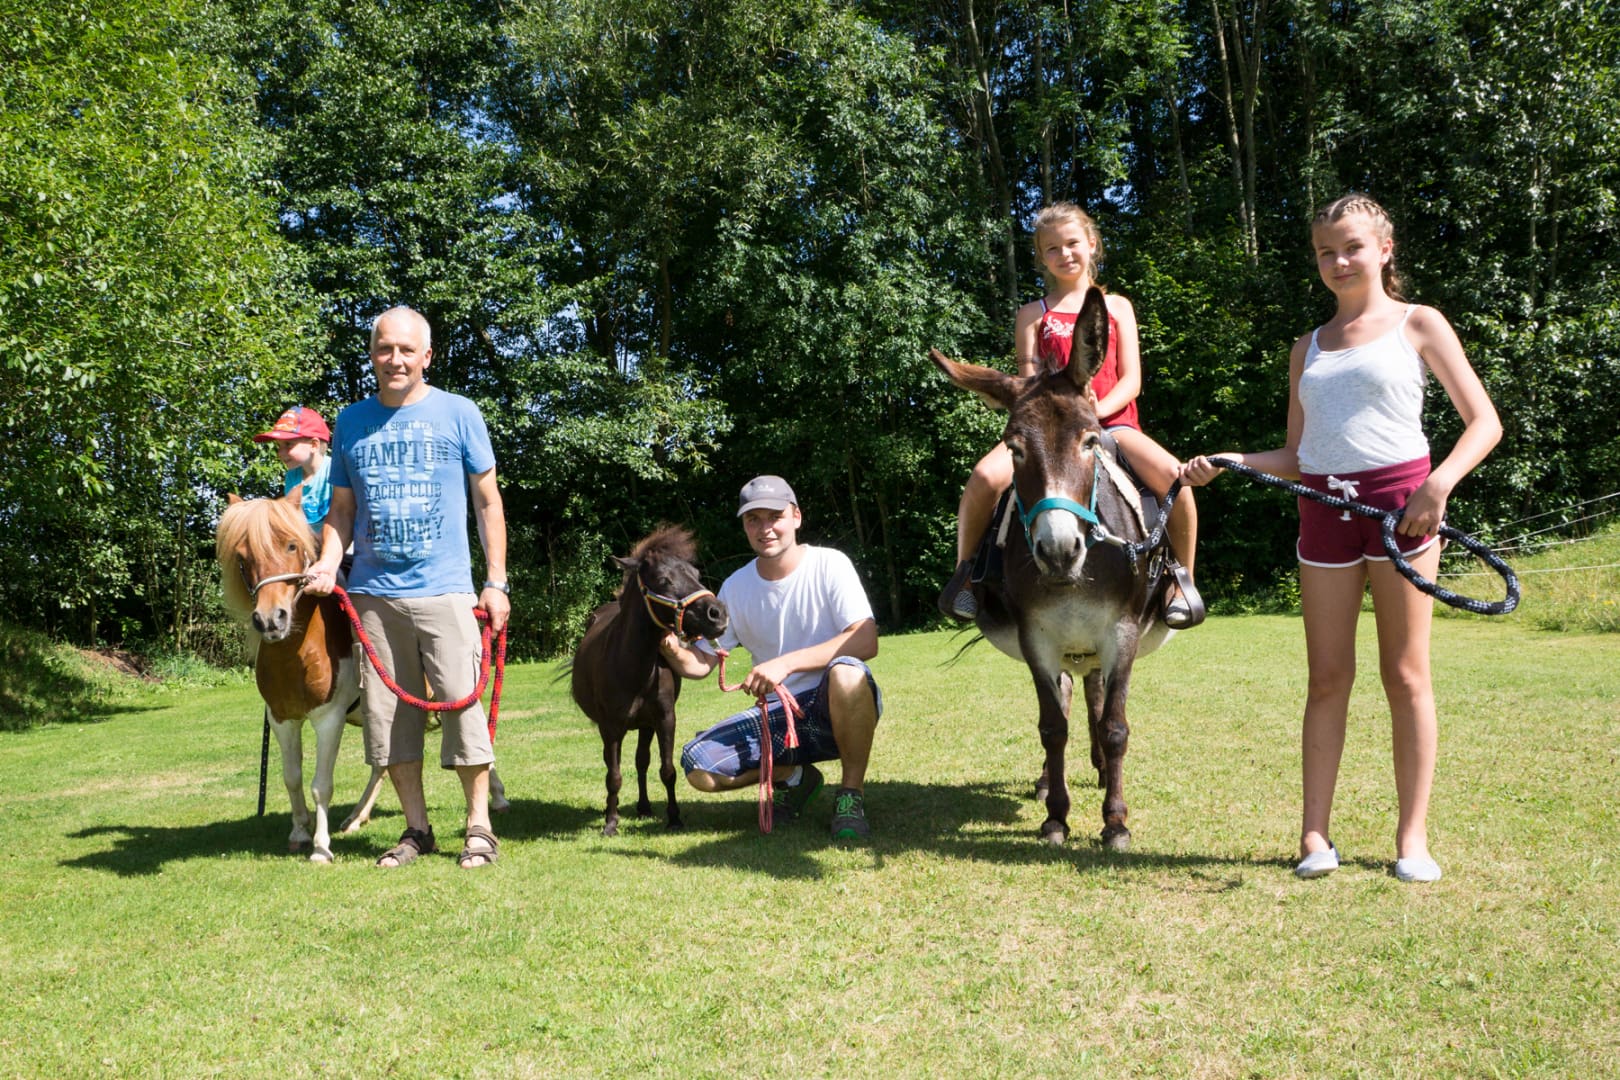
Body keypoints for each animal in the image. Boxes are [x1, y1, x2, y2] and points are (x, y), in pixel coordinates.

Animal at [571, 525, 729, 837]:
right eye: (664, 580)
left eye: (695, 573)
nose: (717, 613)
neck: (633, 667)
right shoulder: (611, 727)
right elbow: (614, 775)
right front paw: (611, 822)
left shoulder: (665, 719)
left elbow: (666, 770)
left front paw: (674, 818)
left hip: (645, 725)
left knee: (641, 761)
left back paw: (643, 807)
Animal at [931, 285, 1179, 849]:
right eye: (1013, 448)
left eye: (1091, 441)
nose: (1059, 550)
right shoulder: (1037, 638)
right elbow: (1052, 726)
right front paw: (1057, 817)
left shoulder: (1121, 632)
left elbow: (1115, 725)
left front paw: (1115, 821)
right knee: (1068, 698)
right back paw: (1051, 781)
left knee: (1095, 695)